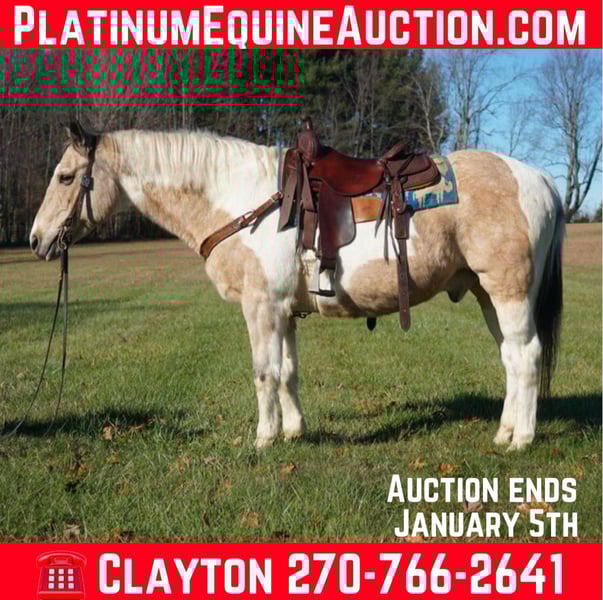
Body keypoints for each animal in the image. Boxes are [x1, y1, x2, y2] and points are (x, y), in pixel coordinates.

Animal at [30, 121, 564, 451]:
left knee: (527, 356)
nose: (36, 240)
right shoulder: (284, 311)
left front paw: (264, 438)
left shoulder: (261, 308)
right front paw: (294, 432)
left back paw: (521, 440)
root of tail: (538, 178)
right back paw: (505, 432)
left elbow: (264, 373)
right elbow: (287, 372)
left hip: (509, 292)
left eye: (65, 176)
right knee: (511, 358)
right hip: (486, 294)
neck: (238, 200)